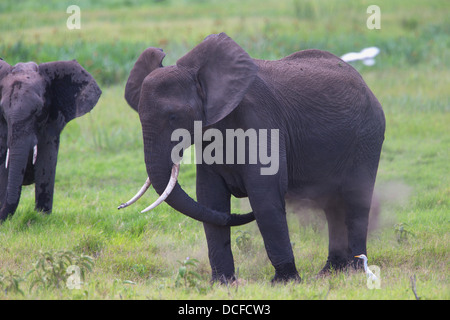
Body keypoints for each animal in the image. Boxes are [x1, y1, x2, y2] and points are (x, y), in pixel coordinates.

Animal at [120, 32, 386, 282]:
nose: (121, 206)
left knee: (355, 198)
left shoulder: (261, 120)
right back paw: (331, 272)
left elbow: (264, 196)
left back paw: (354, 271)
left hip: (368, 135)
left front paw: (284, 282)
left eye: (173, 117)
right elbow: (210, 197)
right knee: (333, 204)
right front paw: (221, 284)